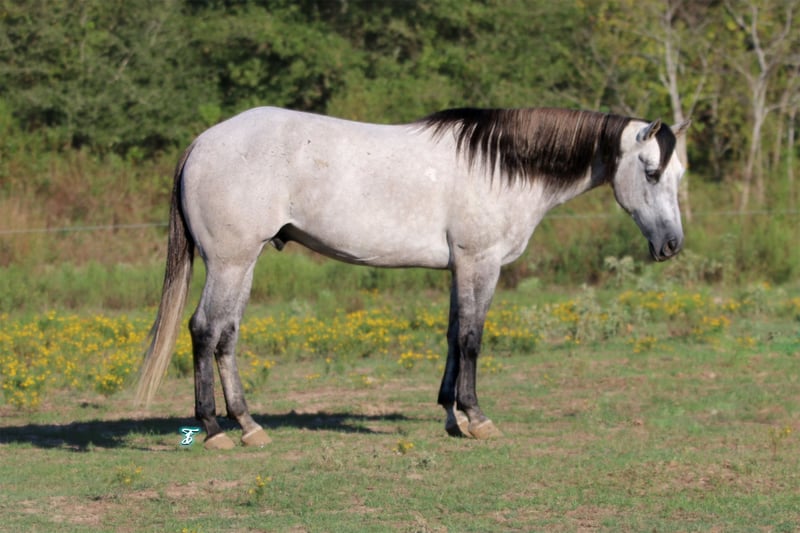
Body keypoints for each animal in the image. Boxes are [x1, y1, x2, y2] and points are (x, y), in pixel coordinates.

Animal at [135, 106, 690, 450]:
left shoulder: (459, 268)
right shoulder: (479, 264)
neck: (501, 168)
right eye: (651, 172)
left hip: (243, 263)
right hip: (230, 262)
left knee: (227, 335)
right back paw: (214, 430)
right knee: (204, 330)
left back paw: (249, 425)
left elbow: (452, 335)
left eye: (679, 174)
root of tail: (202, 143)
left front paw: (451, 416)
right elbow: (471, 338)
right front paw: (477, 418)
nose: (671, 246)